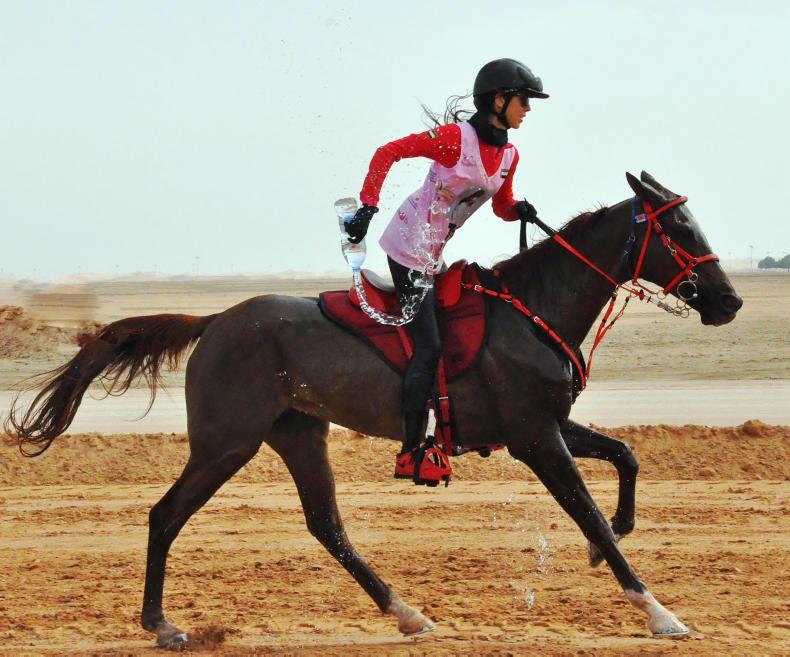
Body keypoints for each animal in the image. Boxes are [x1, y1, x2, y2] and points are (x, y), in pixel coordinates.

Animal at [6, 171, 742, 649]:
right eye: (679, 227)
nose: (729, 301)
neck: (532, 308)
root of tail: (214, 320)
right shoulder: (536, 437)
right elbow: (588, 508)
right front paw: (659, 612)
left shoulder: (547, 425)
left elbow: (626, 457)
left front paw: (613, 533)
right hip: (226, 442)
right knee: (166, 515)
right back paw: (161, 624)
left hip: (298, 433)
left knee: (327, 526)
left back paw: (408, 612)